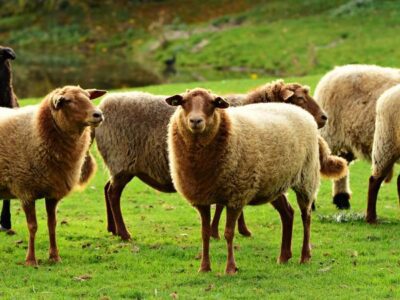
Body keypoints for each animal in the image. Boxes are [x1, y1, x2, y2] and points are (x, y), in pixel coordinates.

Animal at [0, 85, 105, 264]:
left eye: (88, 96)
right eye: (67, 101)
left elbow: (52, 224)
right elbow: (32, 226)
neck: (35, 131)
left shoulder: (53, 192)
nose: (98, 114)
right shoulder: (25, 190)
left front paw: (55, 256)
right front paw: (31, 260)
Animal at [94, 78, 334, 240]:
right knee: (113, 194)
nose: (324, 118)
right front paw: (230, 231)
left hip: (118, 165)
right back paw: (124, 233)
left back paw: (112, 229)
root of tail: (103, 107)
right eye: (299, 98)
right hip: (122, 161)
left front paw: (226, 230)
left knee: (106, 189)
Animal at [166, 88, 322, 274]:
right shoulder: (201, 198)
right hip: (274, 184)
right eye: (183, 102)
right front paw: (204, 267)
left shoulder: (236, 195)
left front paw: (230, 268)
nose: (195, 121)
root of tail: (300, 111)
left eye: (213, 103)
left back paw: (305, 256)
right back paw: (284, 256)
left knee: (306, 216)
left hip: (306, 177)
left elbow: (228, 233)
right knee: (288, 213)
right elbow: (204, 233)